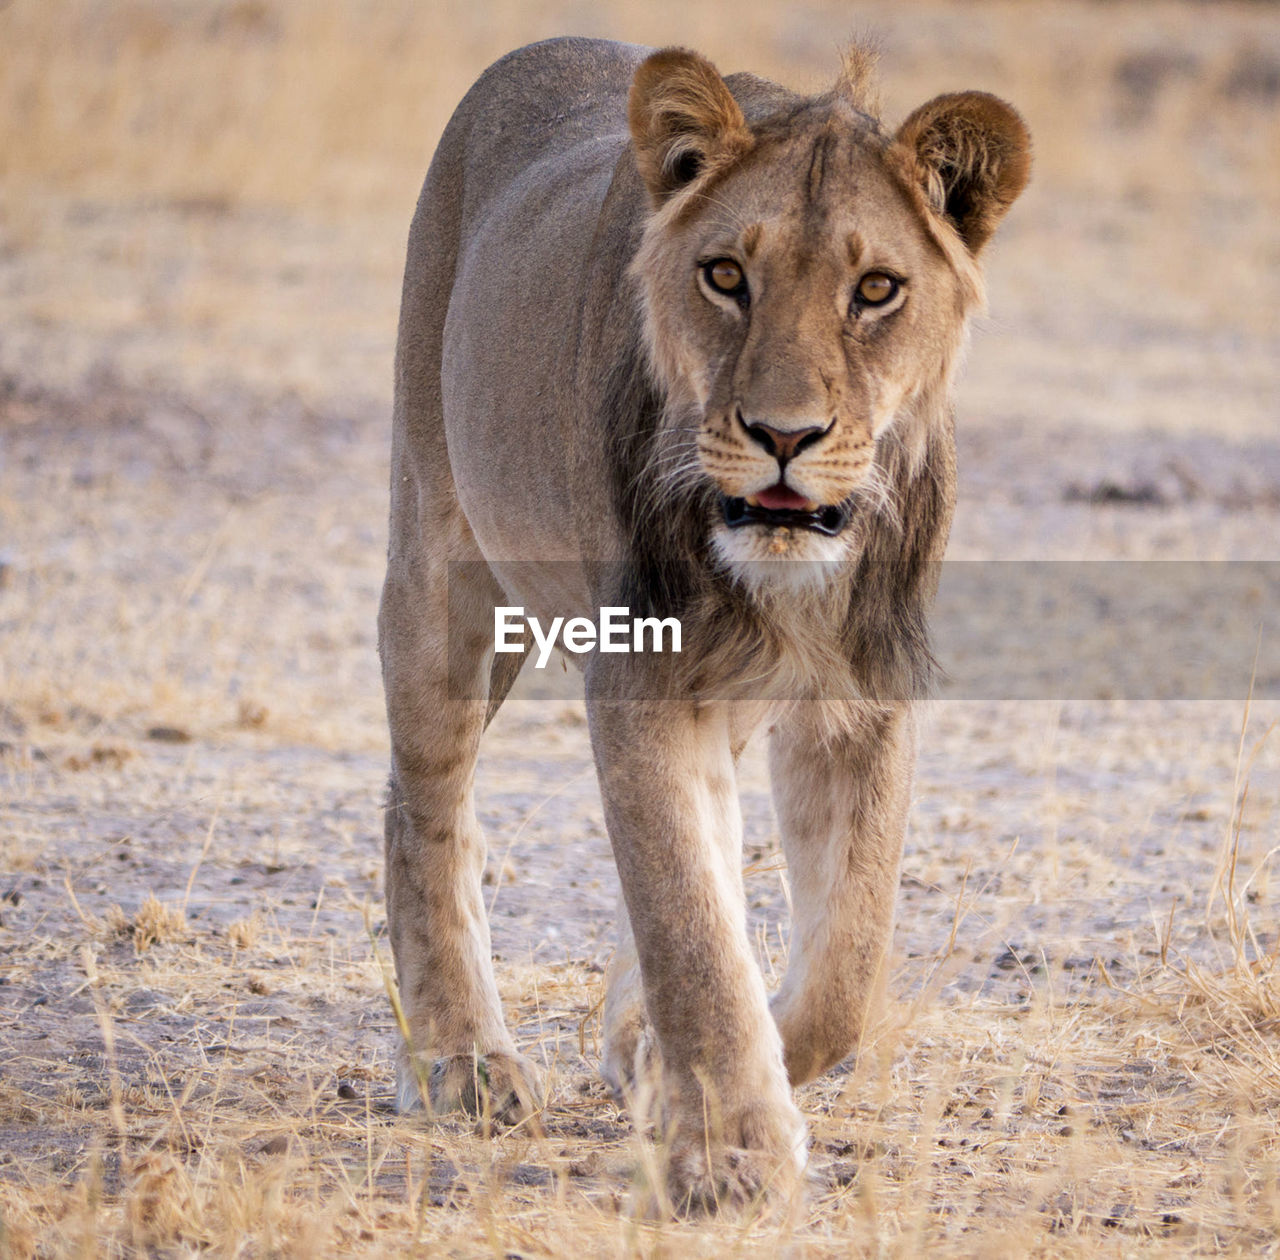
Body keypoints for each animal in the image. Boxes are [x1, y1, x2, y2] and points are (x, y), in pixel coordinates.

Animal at [373, 36, 1029, 1208]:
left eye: (876, 290)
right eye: (725, 275)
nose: (784, 435)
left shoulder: (863, 687)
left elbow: (841, 963)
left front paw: (683, 1062)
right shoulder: (643, 676)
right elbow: (687, 914)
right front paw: (729, 1150)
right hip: (440, 565)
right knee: (424, 799)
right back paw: (459, 1061)